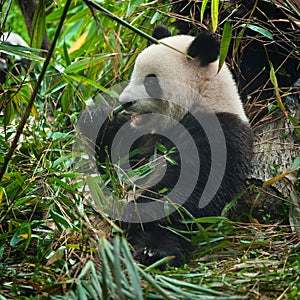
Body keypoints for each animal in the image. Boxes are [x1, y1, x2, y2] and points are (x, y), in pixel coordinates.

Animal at [87, 24, 253, 266]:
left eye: (150, 81)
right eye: (133, 73)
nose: (124, 102)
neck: (203, 97)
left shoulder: (218, 133)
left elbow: (193, 184)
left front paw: (132, 212)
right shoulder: (143, 136)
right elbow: (116, 150)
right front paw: (94, 117)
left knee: (168, 231)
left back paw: (154, 252)